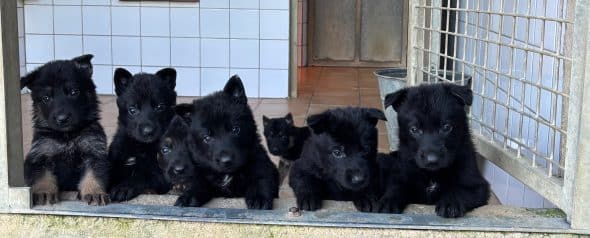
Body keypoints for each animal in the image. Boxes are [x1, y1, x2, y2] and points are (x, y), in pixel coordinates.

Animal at [20, 54, 111, 205]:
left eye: (74, 92)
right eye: (46, 98)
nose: (62, 119)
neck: (67, 136)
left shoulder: (94, 151)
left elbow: (93, 174)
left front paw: (94, 192)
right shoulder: (41, 155)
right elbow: (43, 175)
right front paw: (44, 191)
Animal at [108, 67, 177, 201]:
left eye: (159, 107)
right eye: (132, 109)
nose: (148, 132)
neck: (139, 145)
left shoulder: (162, 175)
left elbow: (142, 175)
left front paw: (124, 187)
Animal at [172, 75, 280, 209]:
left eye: (235, 129)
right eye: (207, 138)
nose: (226, 161)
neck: (227, 175)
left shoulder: (262, 166)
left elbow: (260, 180)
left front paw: (259, 198)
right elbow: (198, 183)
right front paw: (188, 196)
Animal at [382, 80, 492, 218]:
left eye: (446, 127)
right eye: (414, 129)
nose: (432, 160)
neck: (432, 174)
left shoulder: (477, 185)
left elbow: (459, 190)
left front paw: (450, 203)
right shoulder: (402, 174)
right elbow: (397, 186)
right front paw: (389, 201)